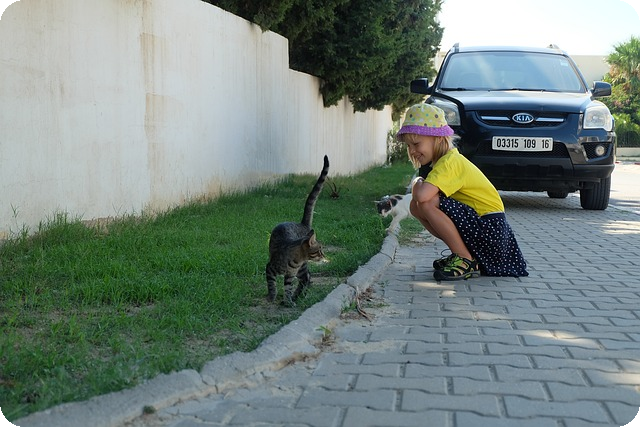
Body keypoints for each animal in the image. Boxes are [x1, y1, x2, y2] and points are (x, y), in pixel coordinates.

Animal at [265, 155, 329, 306]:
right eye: (319, 250)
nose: (324, 255)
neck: (294, 261)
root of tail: (302, 224)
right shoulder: (270, 268)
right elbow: (272, 285)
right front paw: (272, 297)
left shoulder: (290, 274)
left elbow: (288, 288)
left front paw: (288, 301)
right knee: (307, 278)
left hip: (303, 269)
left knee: (307, 278)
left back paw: (298, 296)